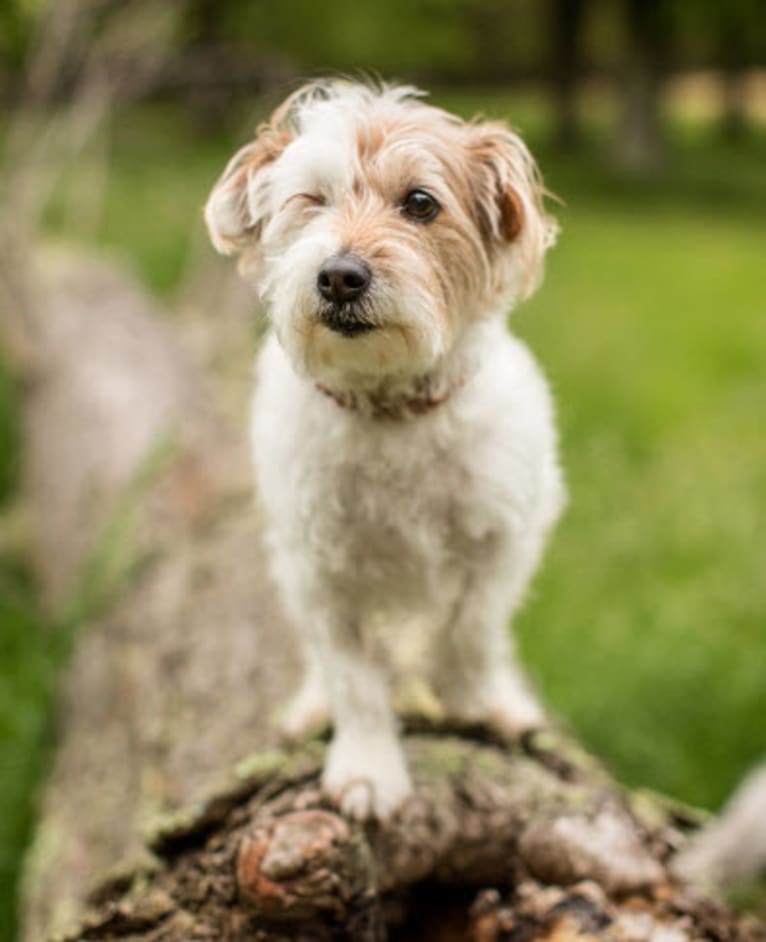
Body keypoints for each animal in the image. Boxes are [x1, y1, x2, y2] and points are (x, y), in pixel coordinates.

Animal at [207, 79, 568, 820]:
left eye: (421, 203)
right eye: (311, 199)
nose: (339, 276)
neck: (390, 410)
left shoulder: (502, 542)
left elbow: (471, 633)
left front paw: (473, 700)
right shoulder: (320, 572)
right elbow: (354, 678)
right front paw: (369, 768)